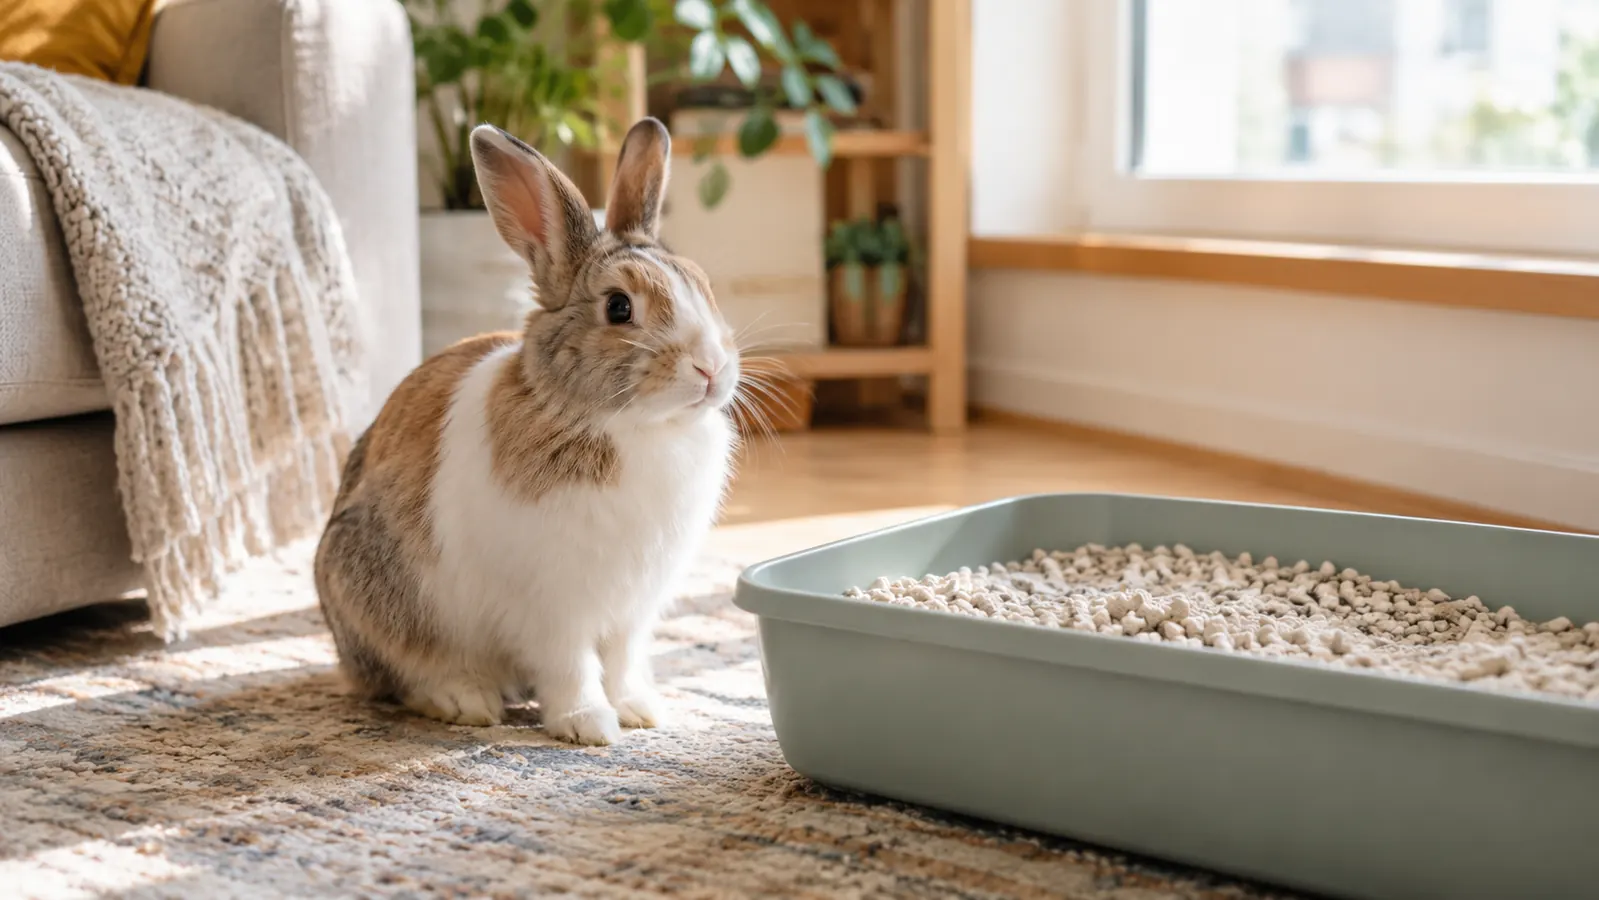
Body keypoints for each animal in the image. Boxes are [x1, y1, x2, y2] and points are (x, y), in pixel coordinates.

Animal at [313, 118, 739, 745]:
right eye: (619, 307)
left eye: (704, 287)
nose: (711, 368)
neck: (634, 427)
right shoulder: (554, 605)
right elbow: (571, 665)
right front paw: (589, 727)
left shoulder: (632, 610)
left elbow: (622, 660)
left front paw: (639, 711)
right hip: (380, 596)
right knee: (405, 673)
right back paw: (466, 700)